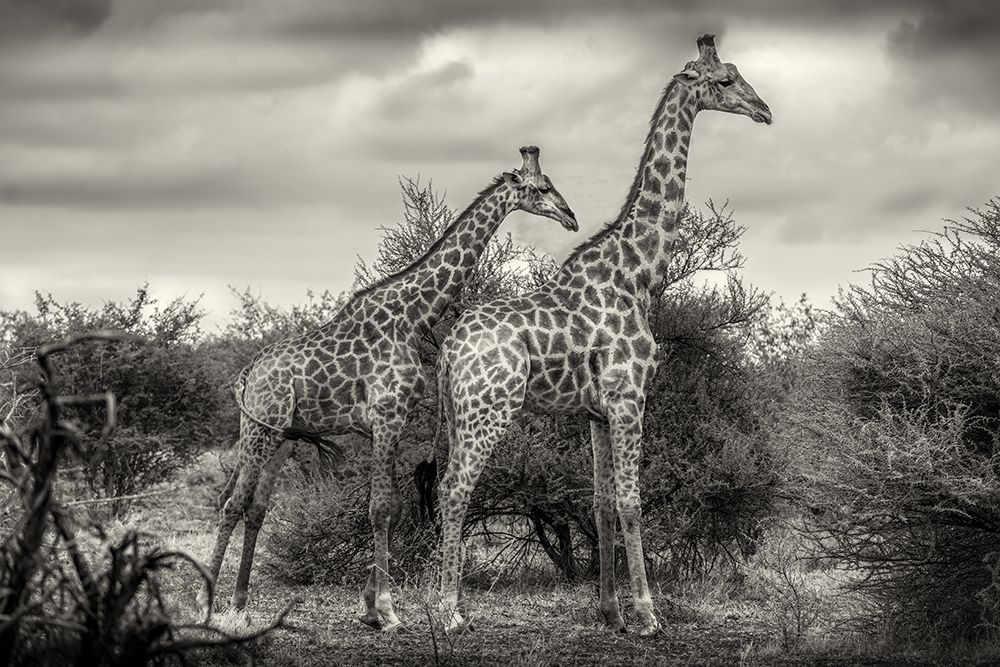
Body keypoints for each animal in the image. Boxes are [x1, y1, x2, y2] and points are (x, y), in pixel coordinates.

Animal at [197, 146, 577, 631]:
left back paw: (240, 604)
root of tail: (247, 373)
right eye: (543, 188)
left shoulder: (392, 420)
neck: (413, 316)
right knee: (232, 501)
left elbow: (392, 508)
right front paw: (388, 610)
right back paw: (205, 604)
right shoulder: (386, 414)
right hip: (259, 427)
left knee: (255, 507)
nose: (571, 216)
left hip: (281, 435)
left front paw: (371, 607)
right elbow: (380, 508)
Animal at [434, 35, 772, 635]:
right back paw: (450, 612)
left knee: (445, 487)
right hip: (488, 407)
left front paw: (610, 611)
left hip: (456, 413)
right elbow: (632, 503)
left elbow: (601, 505)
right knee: (455, 489)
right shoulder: (629, 396)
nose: (765, 110)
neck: (639, 271)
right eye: (726, 81)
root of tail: (450, 348)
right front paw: (648, 614)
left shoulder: (595, 410)